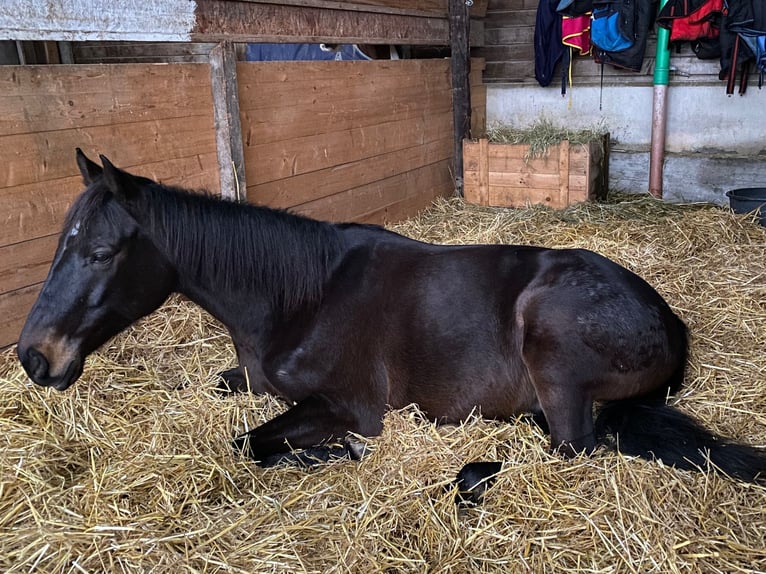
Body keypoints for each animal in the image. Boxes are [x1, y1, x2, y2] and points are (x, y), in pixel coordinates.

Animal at [15, 150, 764, 504]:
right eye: (59, 246)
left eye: (100, 253)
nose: (32, 357)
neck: (299, 296)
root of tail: (668, 318)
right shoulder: (247, 378)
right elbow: (226, 396)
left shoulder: (347, 405)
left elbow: (251, 443)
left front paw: (339, 454)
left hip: (551, 351)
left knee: (571, 450)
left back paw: (469, 477)